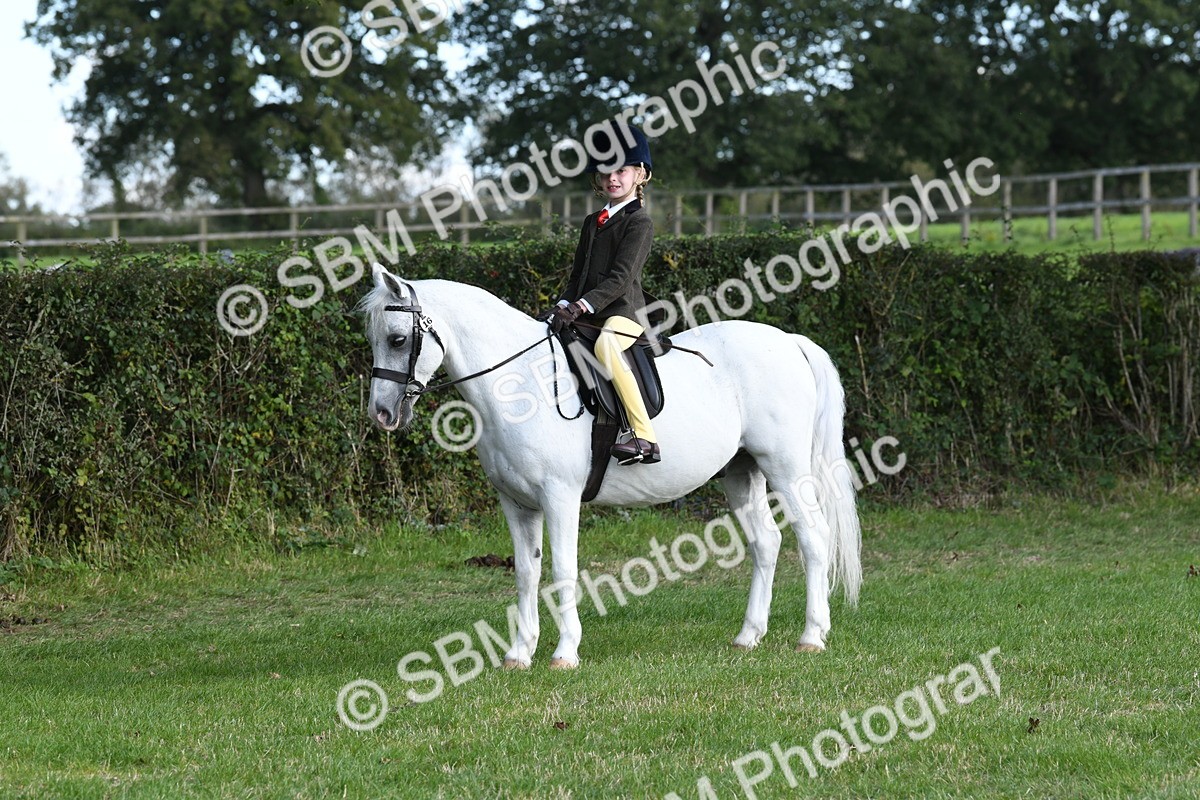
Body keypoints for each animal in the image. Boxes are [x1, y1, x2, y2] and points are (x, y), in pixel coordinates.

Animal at [361, 263, 861, 669]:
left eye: (398, 339)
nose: (381, 414)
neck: (521, 384)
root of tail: (788, 342)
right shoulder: (518, 504)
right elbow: (526, 573)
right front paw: (519, 653)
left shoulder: (560, 497)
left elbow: (562, 570)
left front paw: (565, 653)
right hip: (742, 471)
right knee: (766, 543)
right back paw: (748, 637)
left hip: (785, 466)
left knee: (813, 537)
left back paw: (811, 636)